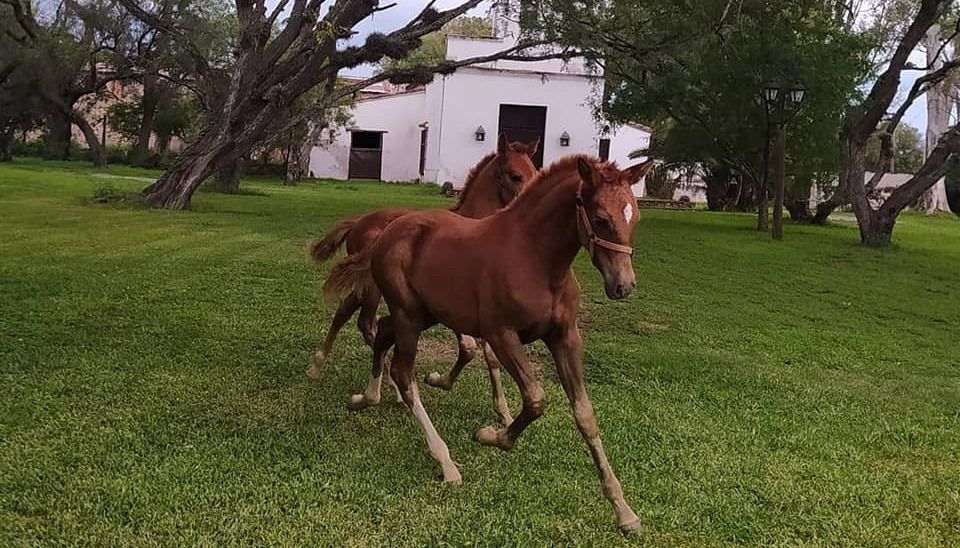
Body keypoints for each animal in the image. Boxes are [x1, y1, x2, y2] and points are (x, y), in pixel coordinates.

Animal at [306, 134, 536, 424]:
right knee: (365, 323)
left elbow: (486, 354)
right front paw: (439, 381)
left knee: (347, 311)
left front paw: (503, 411)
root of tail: (359, 221)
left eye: (535, 171)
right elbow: (470, 348)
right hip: (373, 287)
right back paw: (386, 386)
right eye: (515, 176)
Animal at [328, 153, 652, 532]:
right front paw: (493, 436)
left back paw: (367, 397)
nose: (623, 286)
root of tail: (384, 232)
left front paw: (623, 510)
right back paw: (445, 462)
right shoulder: (501, 334)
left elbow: (585, 414)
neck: (536, 259)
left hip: (424, 314)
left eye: (634, 216)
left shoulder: (566, 337)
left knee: (379, 331)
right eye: (600, 219)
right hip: (408, 315)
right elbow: (535, 399)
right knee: (403, 372)